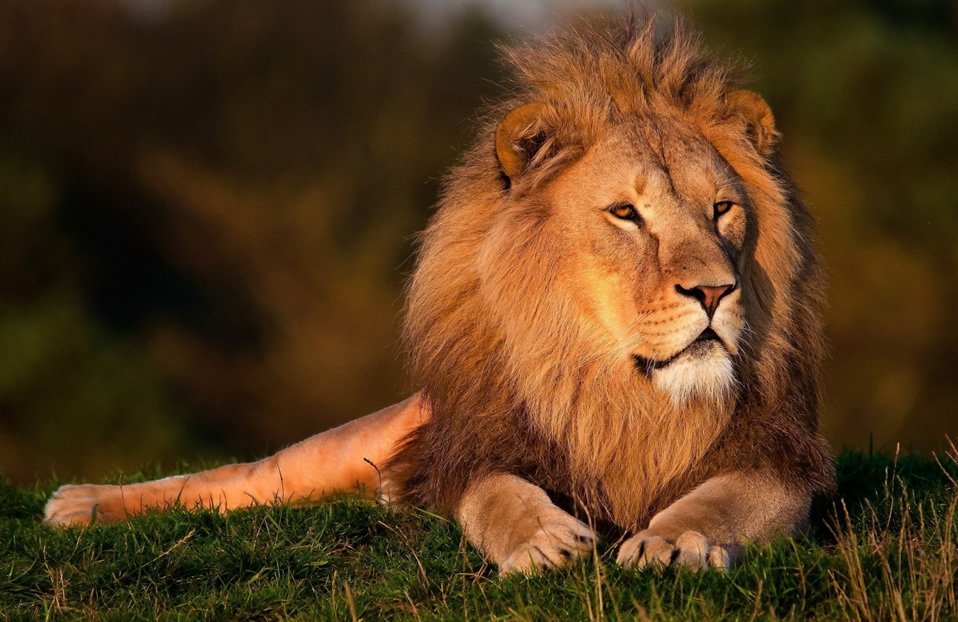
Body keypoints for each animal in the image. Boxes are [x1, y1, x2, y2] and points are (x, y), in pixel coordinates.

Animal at [44, 18, 834, 574]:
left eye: (722, 210)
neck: (619, 394)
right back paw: (77, 502)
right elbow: (496, 496)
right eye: (625, 214)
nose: (715, 291)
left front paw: (673, 540)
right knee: (237, 479)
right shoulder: (474, 450)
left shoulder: (779, 462)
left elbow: (725, 499)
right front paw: (543, 540)